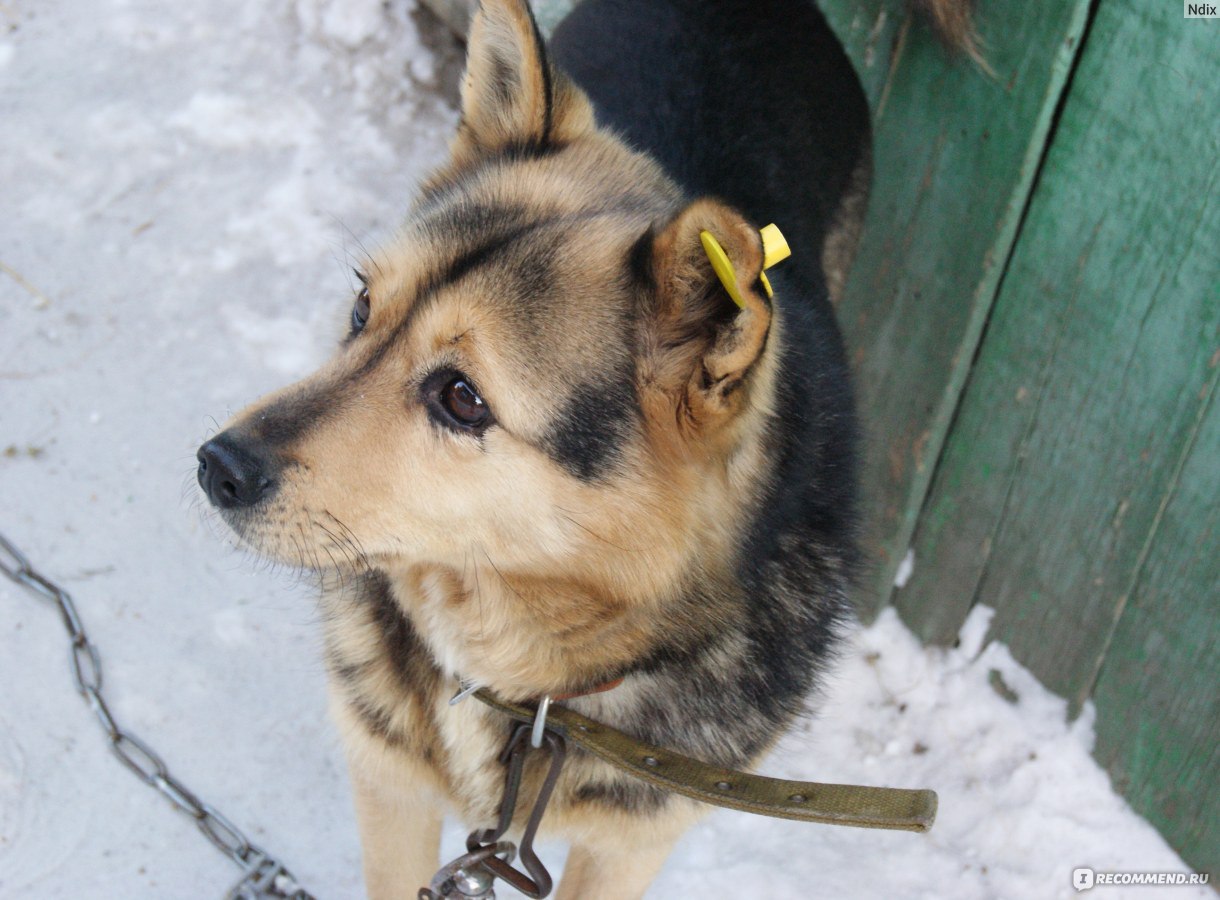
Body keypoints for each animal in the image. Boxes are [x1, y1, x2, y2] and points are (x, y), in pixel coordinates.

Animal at [195, 0, 966, 892]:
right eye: (361, 308)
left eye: (462, 398)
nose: (217, 467)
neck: (526, 685)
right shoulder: (387, 780)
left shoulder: (630, 843)